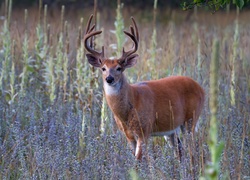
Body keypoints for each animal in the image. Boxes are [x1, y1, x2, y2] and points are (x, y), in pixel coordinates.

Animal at [84, 14, 205, 160]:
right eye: (103, 68)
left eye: (119, 68)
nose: (109, 79)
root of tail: (201, 88)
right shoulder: (129, 136)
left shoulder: (144, 130)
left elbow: (139, 159)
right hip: (171, 129)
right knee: (180, 150)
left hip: (191, 119)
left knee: (193, 149)